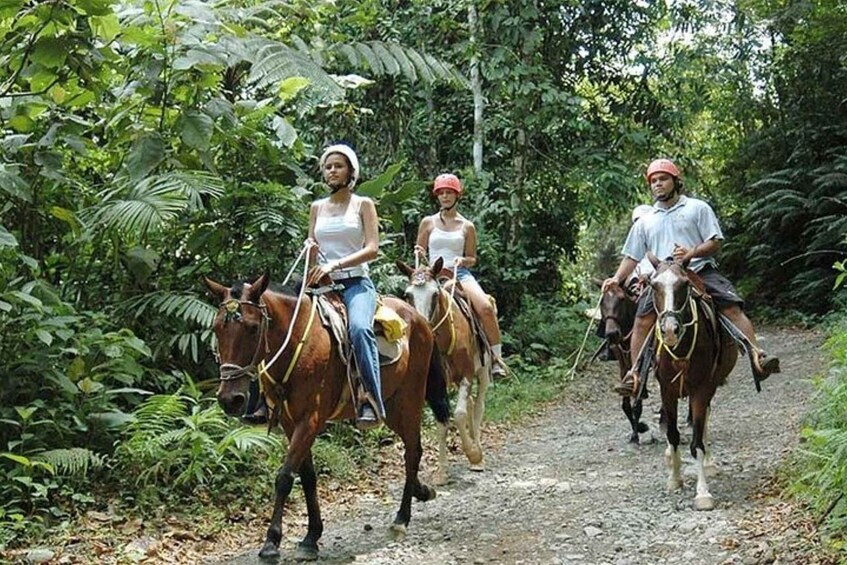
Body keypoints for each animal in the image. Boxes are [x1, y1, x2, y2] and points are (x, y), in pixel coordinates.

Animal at [205, 270, 450, 556]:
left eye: (253, 328)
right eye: (217, 328)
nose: (230, 399)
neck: (297, 342)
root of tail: (418, 318)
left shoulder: (311, 419)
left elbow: (285, 477)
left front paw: (271, 542)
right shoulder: (290, 422)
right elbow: (308, 477)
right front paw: (311, 536)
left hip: (409, 399)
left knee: (413, 451)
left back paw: (402, 518)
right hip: (389, 406)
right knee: (412, 448)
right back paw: (421, 491)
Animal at [398, 258, 490, 482]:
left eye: (434, 294)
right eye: (408, 295)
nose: (421, 326)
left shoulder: (467, 374)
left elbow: (458, 414)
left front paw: (473, 454)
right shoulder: (436, 385)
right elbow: (442, 423)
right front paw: (441, 472)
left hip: (483, 370)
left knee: (478, 404)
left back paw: (478, 454)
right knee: (471, 403)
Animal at [644, 256, 740, 512]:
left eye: (684, 284)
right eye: (654, 285)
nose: (669, 330)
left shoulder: (701, 388)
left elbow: (697, 442)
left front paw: (703, 493)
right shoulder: (667, 390)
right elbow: (673, 435)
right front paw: (674, 479)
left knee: (705, 419)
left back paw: (709, 463)